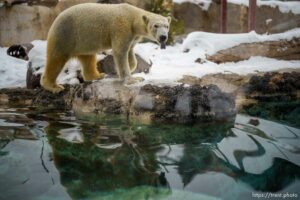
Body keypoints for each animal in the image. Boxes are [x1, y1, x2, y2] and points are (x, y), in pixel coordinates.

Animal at [40, 3, 171, 92]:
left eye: (167, 26)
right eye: (156, 25)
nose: (163, 37)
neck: (132, 17)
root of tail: (56, 19)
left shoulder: (133, 36)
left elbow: (130, 51)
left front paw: (127, 67)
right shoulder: (121, 28)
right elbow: (120, 51)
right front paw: (133, 79)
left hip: (84, 40)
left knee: (88, 58)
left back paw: (98, 75)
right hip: (66, 34)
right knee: (56, 59)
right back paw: (54, 86)